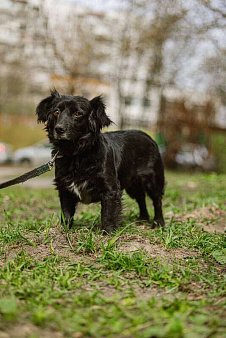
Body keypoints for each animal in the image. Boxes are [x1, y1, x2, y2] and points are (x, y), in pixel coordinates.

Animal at [36, 89, 164, 232]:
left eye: (78, 114)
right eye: (56, 112)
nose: (59, 129)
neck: (76, 154)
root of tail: (149, 137)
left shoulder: (110, 189)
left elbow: (108, 214)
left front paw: (108, 233)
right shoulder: (65, 189)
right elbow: (66, 214)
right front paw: (65, 231)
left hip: (152, 180)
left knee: (157, 201)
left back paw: (158, 223)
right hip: (133, 185)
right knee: (141, 199)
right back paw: (142, 219)